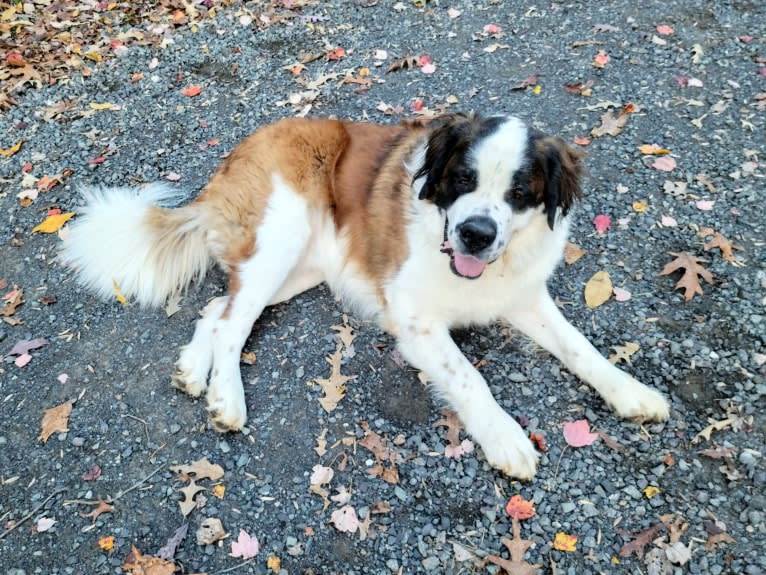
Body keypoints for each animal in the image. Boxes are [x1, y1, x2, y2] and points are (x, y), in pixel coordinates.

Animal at [61, 111, 672, 476]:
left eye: (520, 192)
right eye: (463, 180)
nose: (476, 233)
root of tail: (233, 156)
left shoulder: (524, 297)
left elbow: (580, 348)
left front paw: (631, 392)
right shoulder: (416, 321)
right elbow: (469, 379)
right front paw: (506, 438)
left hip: (301, 269)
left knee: (218, 309)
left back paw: (193, 370)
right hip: (282, 234)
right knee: (233, 322)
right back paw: (226, 398)